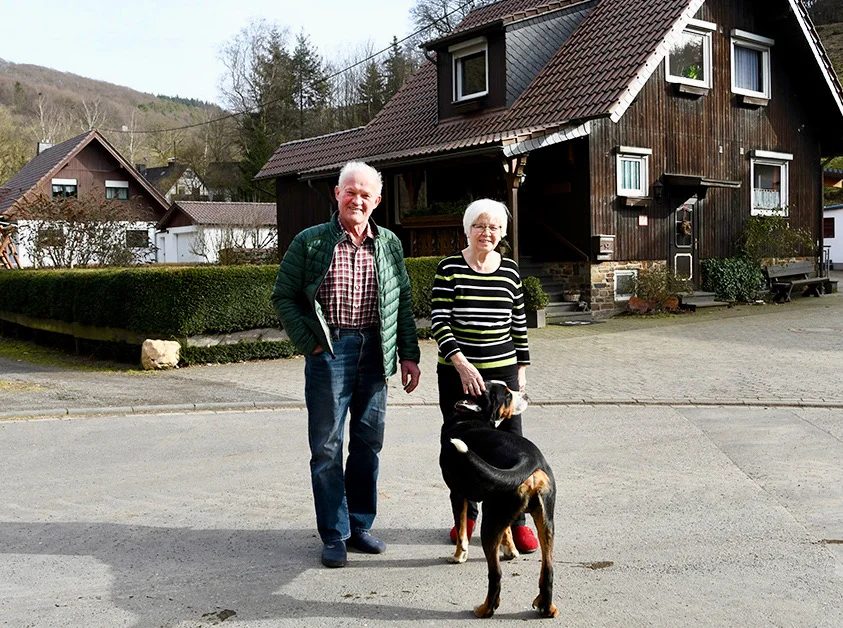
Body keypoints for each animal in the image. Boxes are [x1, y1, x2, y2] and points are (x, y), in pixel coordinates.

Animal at [438, 380, 556, 620]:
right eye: (508, 395)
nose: (526, 395)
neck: (469, 416)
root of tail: (528, 458)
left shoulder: (457, 494)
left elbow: (461, 532)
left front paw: (458, 556)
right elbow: (508, 532)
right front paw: (511, 550)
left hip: (490, 522)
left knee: (496, 575)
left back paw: (484, 610)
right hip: (544, 522)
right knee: (548, 569)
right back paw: (546, 607)